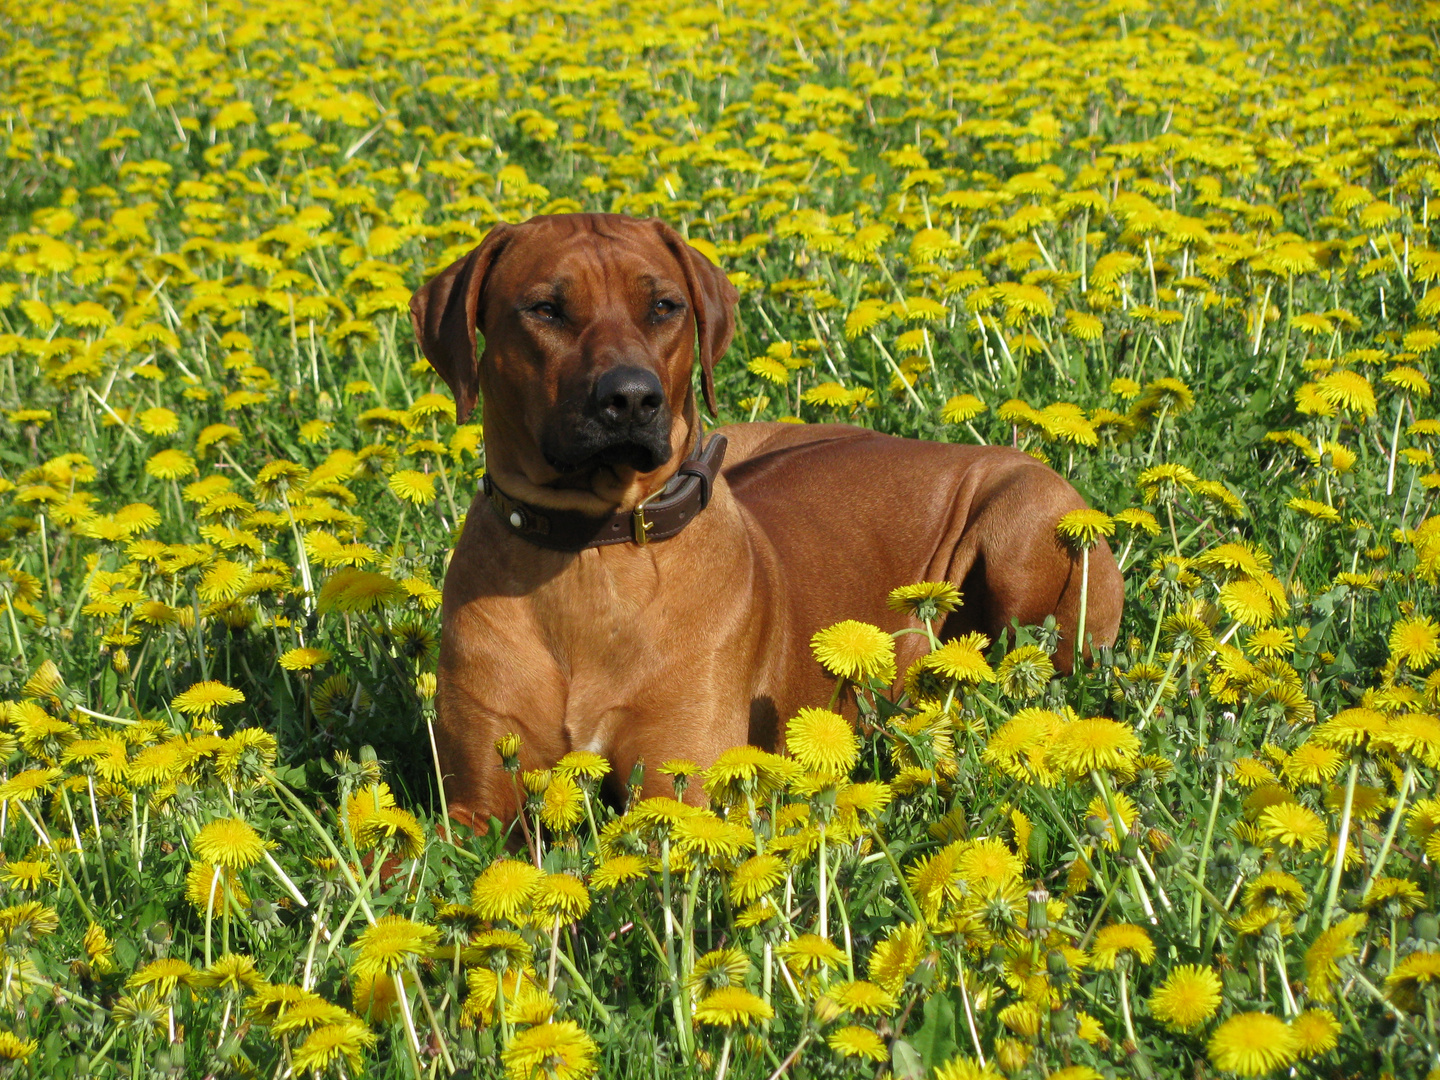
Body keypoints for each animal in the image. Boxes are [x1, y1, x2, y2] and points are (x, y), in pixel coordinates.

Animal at [408, 216, 1123, 835]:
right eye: (545, 309)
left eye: (664, 306)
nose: (632, 399)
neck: (592, 548)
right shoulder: (475, 806)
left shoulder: (682, 787)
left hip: (1025, 522)